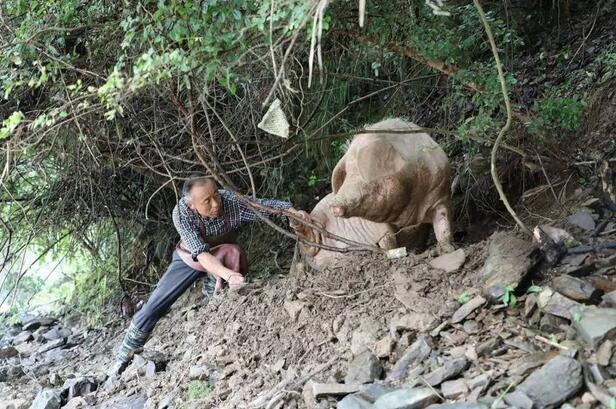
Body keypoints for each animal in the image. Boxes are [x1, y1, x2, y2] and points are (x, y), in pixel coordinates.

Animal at [330, 118, 454, 252]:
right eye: (348, 174)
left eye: (365, 177)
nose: (333, 204)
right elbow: (387, 239)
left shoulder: (441, 193)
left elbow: (443, 226)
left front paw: (449, 250)